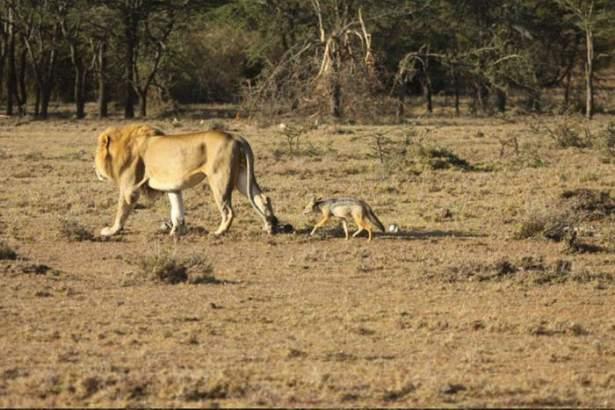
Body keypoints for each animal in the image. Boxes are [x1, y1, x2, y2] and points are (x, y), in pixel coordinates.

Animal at [94, 123, 280, 235]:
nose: (94, 169)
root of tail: (236, 137)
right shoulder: (173, 187)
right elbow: (177, 210)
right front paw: (177, 231)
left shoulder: (129, 189)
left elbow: (121, 211)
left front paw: (111, 230)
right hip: (241, 176)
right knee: (263, 198)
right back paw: (269, 226)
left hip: (219, 179)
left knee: (228, 210)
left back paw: (218, 232)